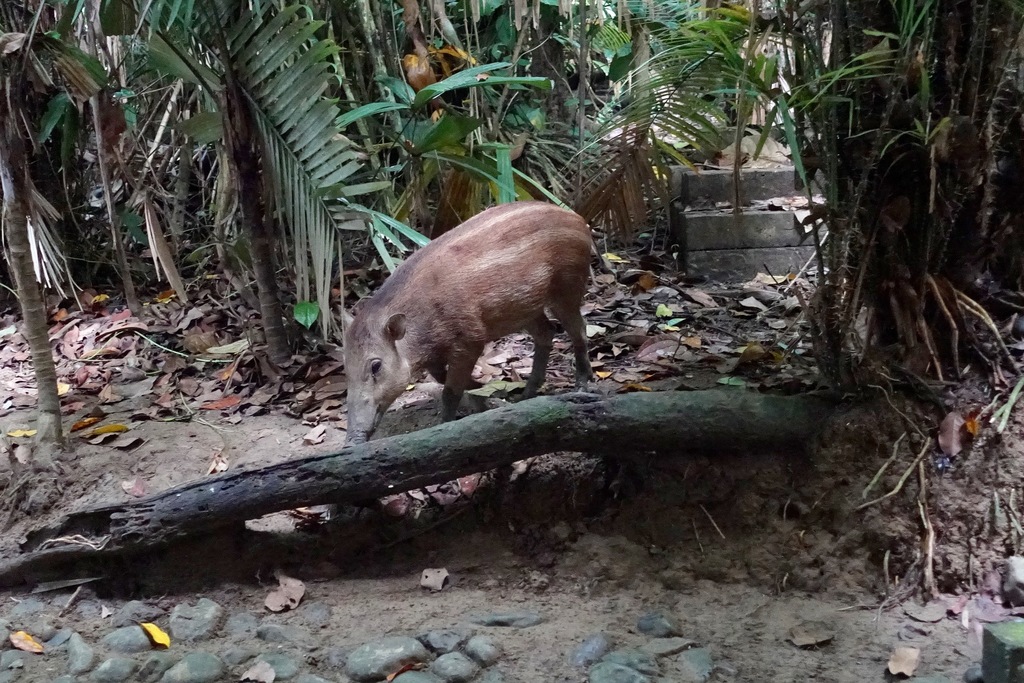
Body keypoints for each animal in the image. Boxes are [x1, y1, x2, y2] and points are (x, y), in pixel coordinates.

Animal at [342, 201, 595, 444]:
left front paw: (447, 423)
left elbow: (450, 391)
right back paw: (526, 394)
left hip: (567, 287)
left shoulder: (469, 339)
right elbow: (441, 378)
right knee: (546, 332)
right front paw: (488, 396)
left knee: (579, 330)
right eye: (346, 367)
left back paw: (581, 386)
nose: (352, 440)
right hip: (526, 310)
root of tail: (579, 219)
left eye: (376, 366)